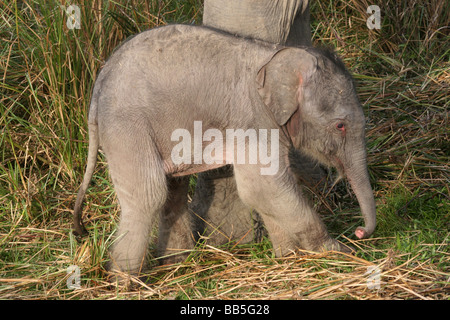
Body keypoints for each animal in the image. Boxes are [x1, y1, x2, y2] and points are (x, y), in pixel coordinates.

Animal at [74, 25, 376, 276]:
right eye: (340, 126)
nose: (360, 232)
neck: (278, 56)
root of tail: (98, 87)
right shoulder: (253, 120)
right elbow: (262, 187)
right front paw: (338, 251)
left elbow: (267, 191)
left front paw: (288, 257)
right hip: (127, 126)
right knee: (149, 195)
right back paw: (126, 283)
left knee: (172, 191)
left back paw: (177, 265)